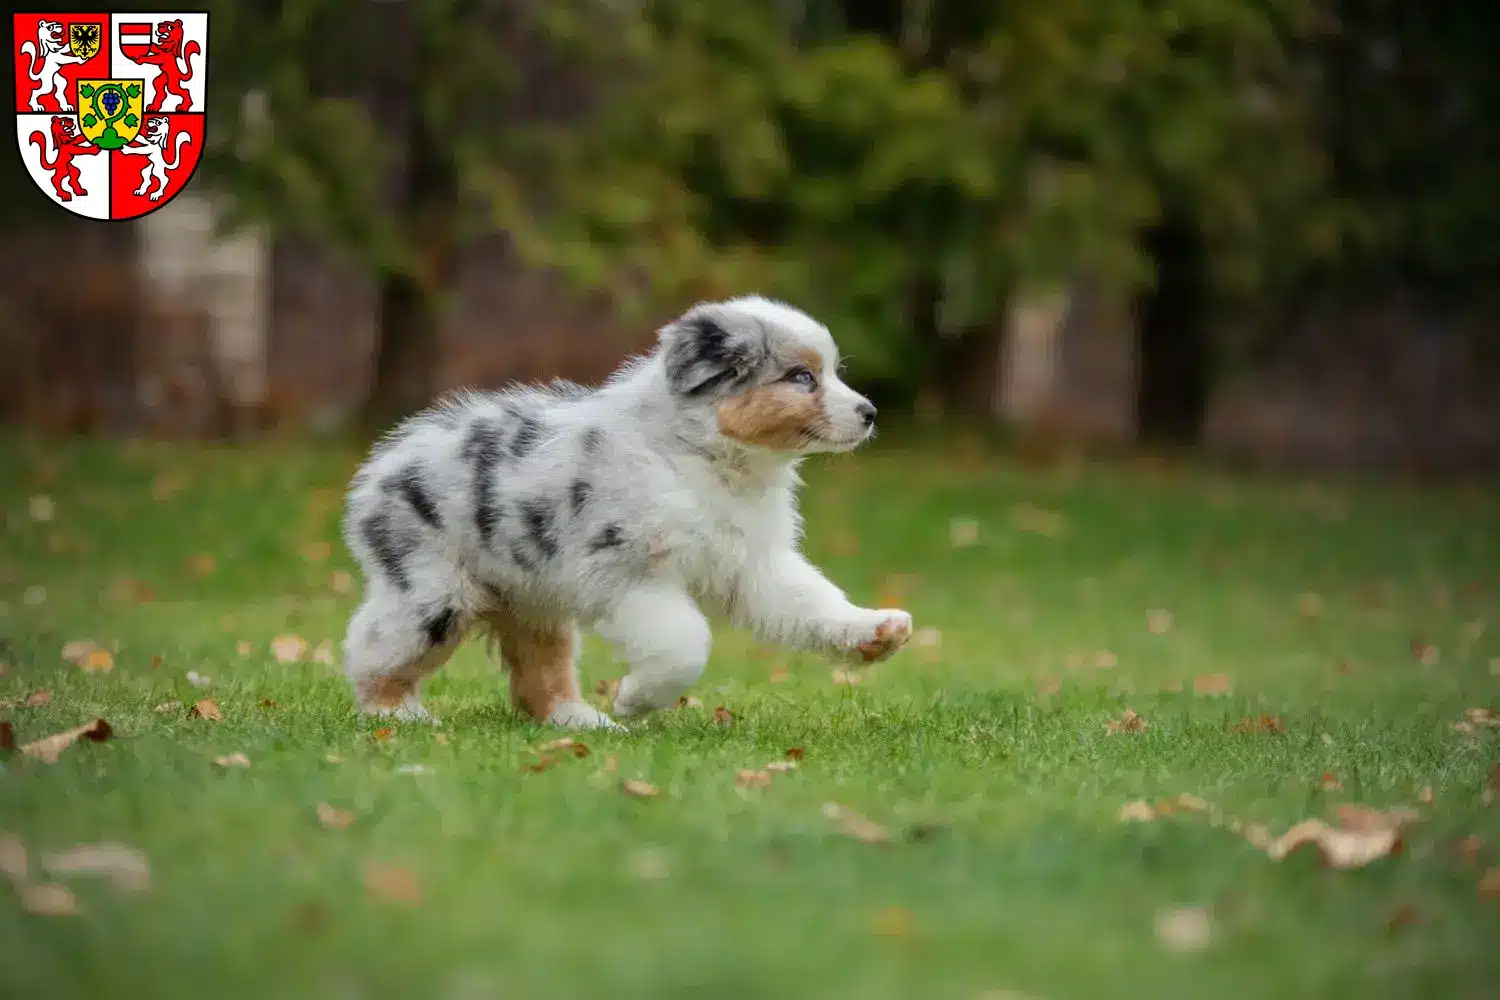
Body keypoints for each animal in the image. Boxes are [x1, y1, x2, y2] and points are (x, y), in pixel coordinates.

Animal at [342, 293, 912, 731]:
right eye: (800, 377)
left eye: (830, 372)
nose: (870, 413)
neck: (711, 460)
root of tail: (382, 464)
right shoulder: (627, 572)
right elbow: (685, 643)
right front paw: (635, 700)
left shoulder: (754, 562)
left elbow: (812, 602)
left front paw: (874, 631)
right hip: (432, 592)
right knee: (370, 647)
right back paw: (393, 714)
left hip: (532, 600)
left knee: (539, 674)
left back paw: (580, 721)